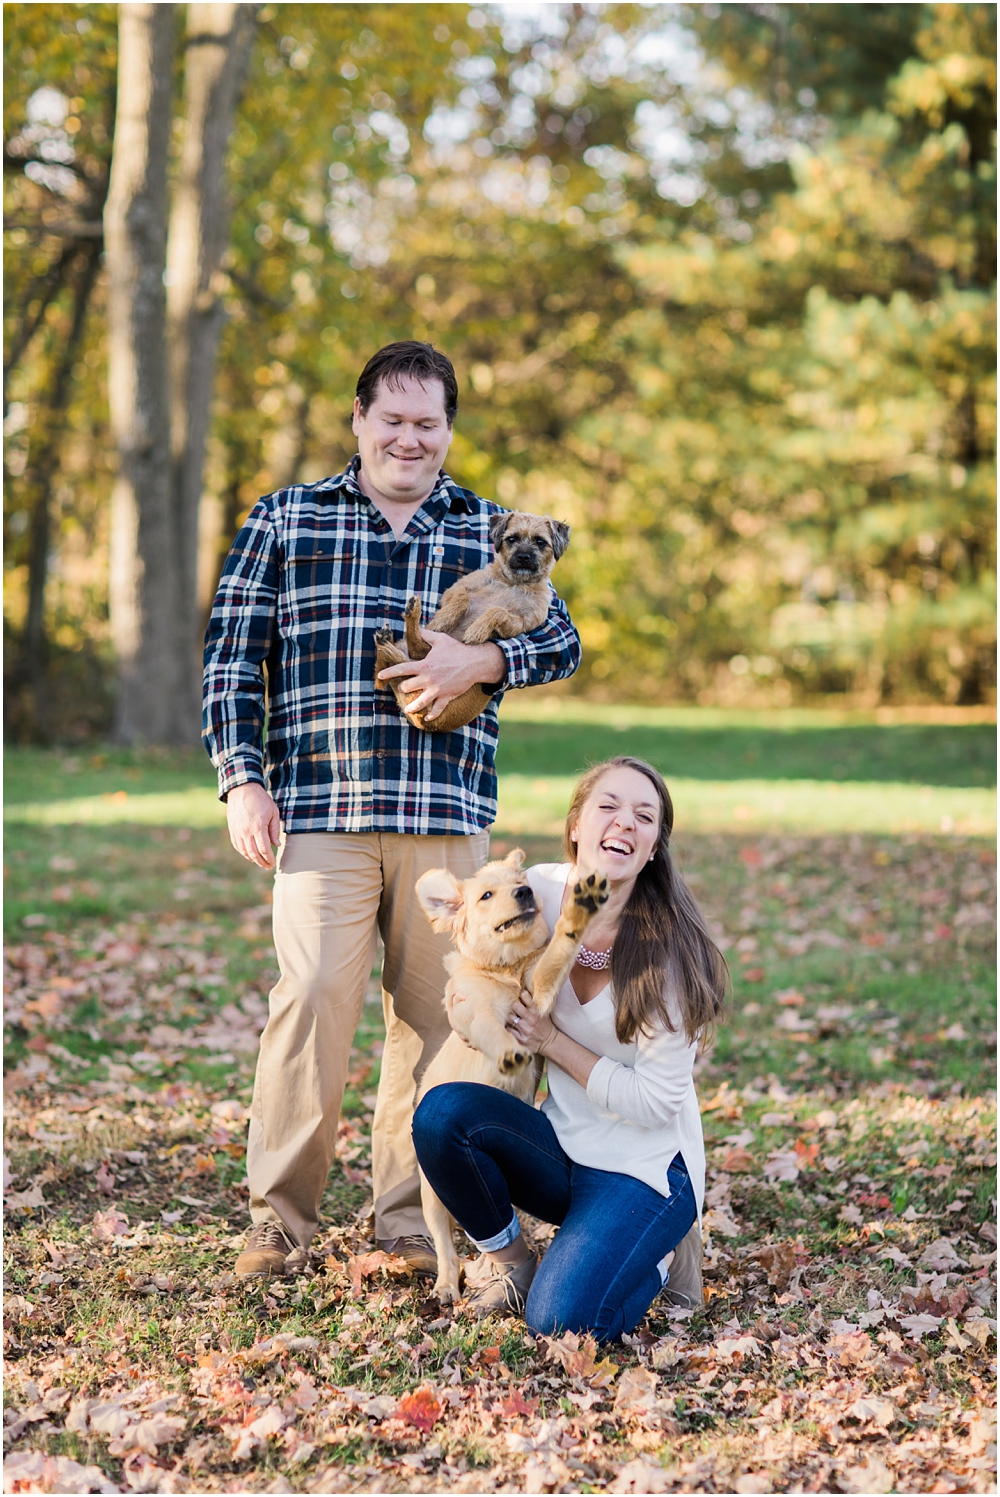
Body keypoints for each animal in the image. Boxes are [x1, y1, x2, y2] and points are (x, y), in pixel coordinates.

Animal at [374, 510, 570, 732]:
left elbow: (498, 610)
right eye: (512, 539)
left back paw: (396, 629)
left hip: (420, 659)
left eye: (540, 542)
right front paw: (444, 619)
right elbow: (463, 597)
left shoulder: (519, 624)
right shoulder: (453, 591)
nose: (523, 556)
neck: (513, 584)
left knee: (414, 651)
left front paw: (477, 630)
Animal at [413, 848, 609, 1302]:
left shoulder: (538, 996)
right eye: (486, 895)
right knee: (447, 1246)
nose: (524, 893)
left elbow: (558, 950)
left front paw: (581, 909)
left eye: (522, 884)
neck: (507, 967)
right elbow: (490, 1029)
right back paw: (447, 1285)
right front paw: (507, 1054)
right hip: (431, 1197)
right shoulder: (474, 1012)